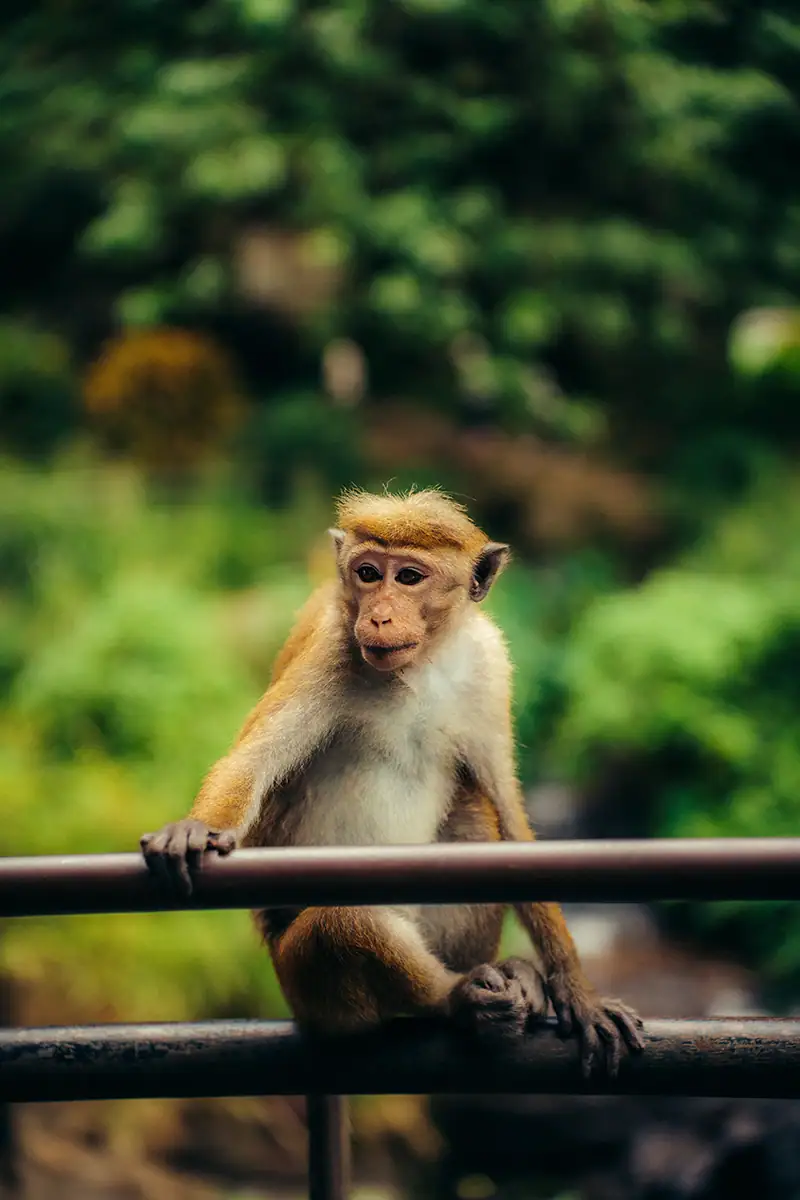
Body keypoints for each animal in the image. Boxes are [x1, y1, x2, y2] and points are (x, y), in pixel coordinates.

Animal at [141, 488, 644, 1076]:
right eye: (367, 573)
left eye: (408, 577)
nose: (378, 616)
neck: (420, 666)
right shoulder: (331, 650)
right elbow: (251, 762)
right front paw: (194, 828)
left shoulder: (488, 666)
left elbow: (508, 815)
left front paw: (578, 991)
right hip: (309, 990)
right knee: (344, 925)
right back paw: (458, 998)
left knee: (476, 817)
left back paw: (510, 978)